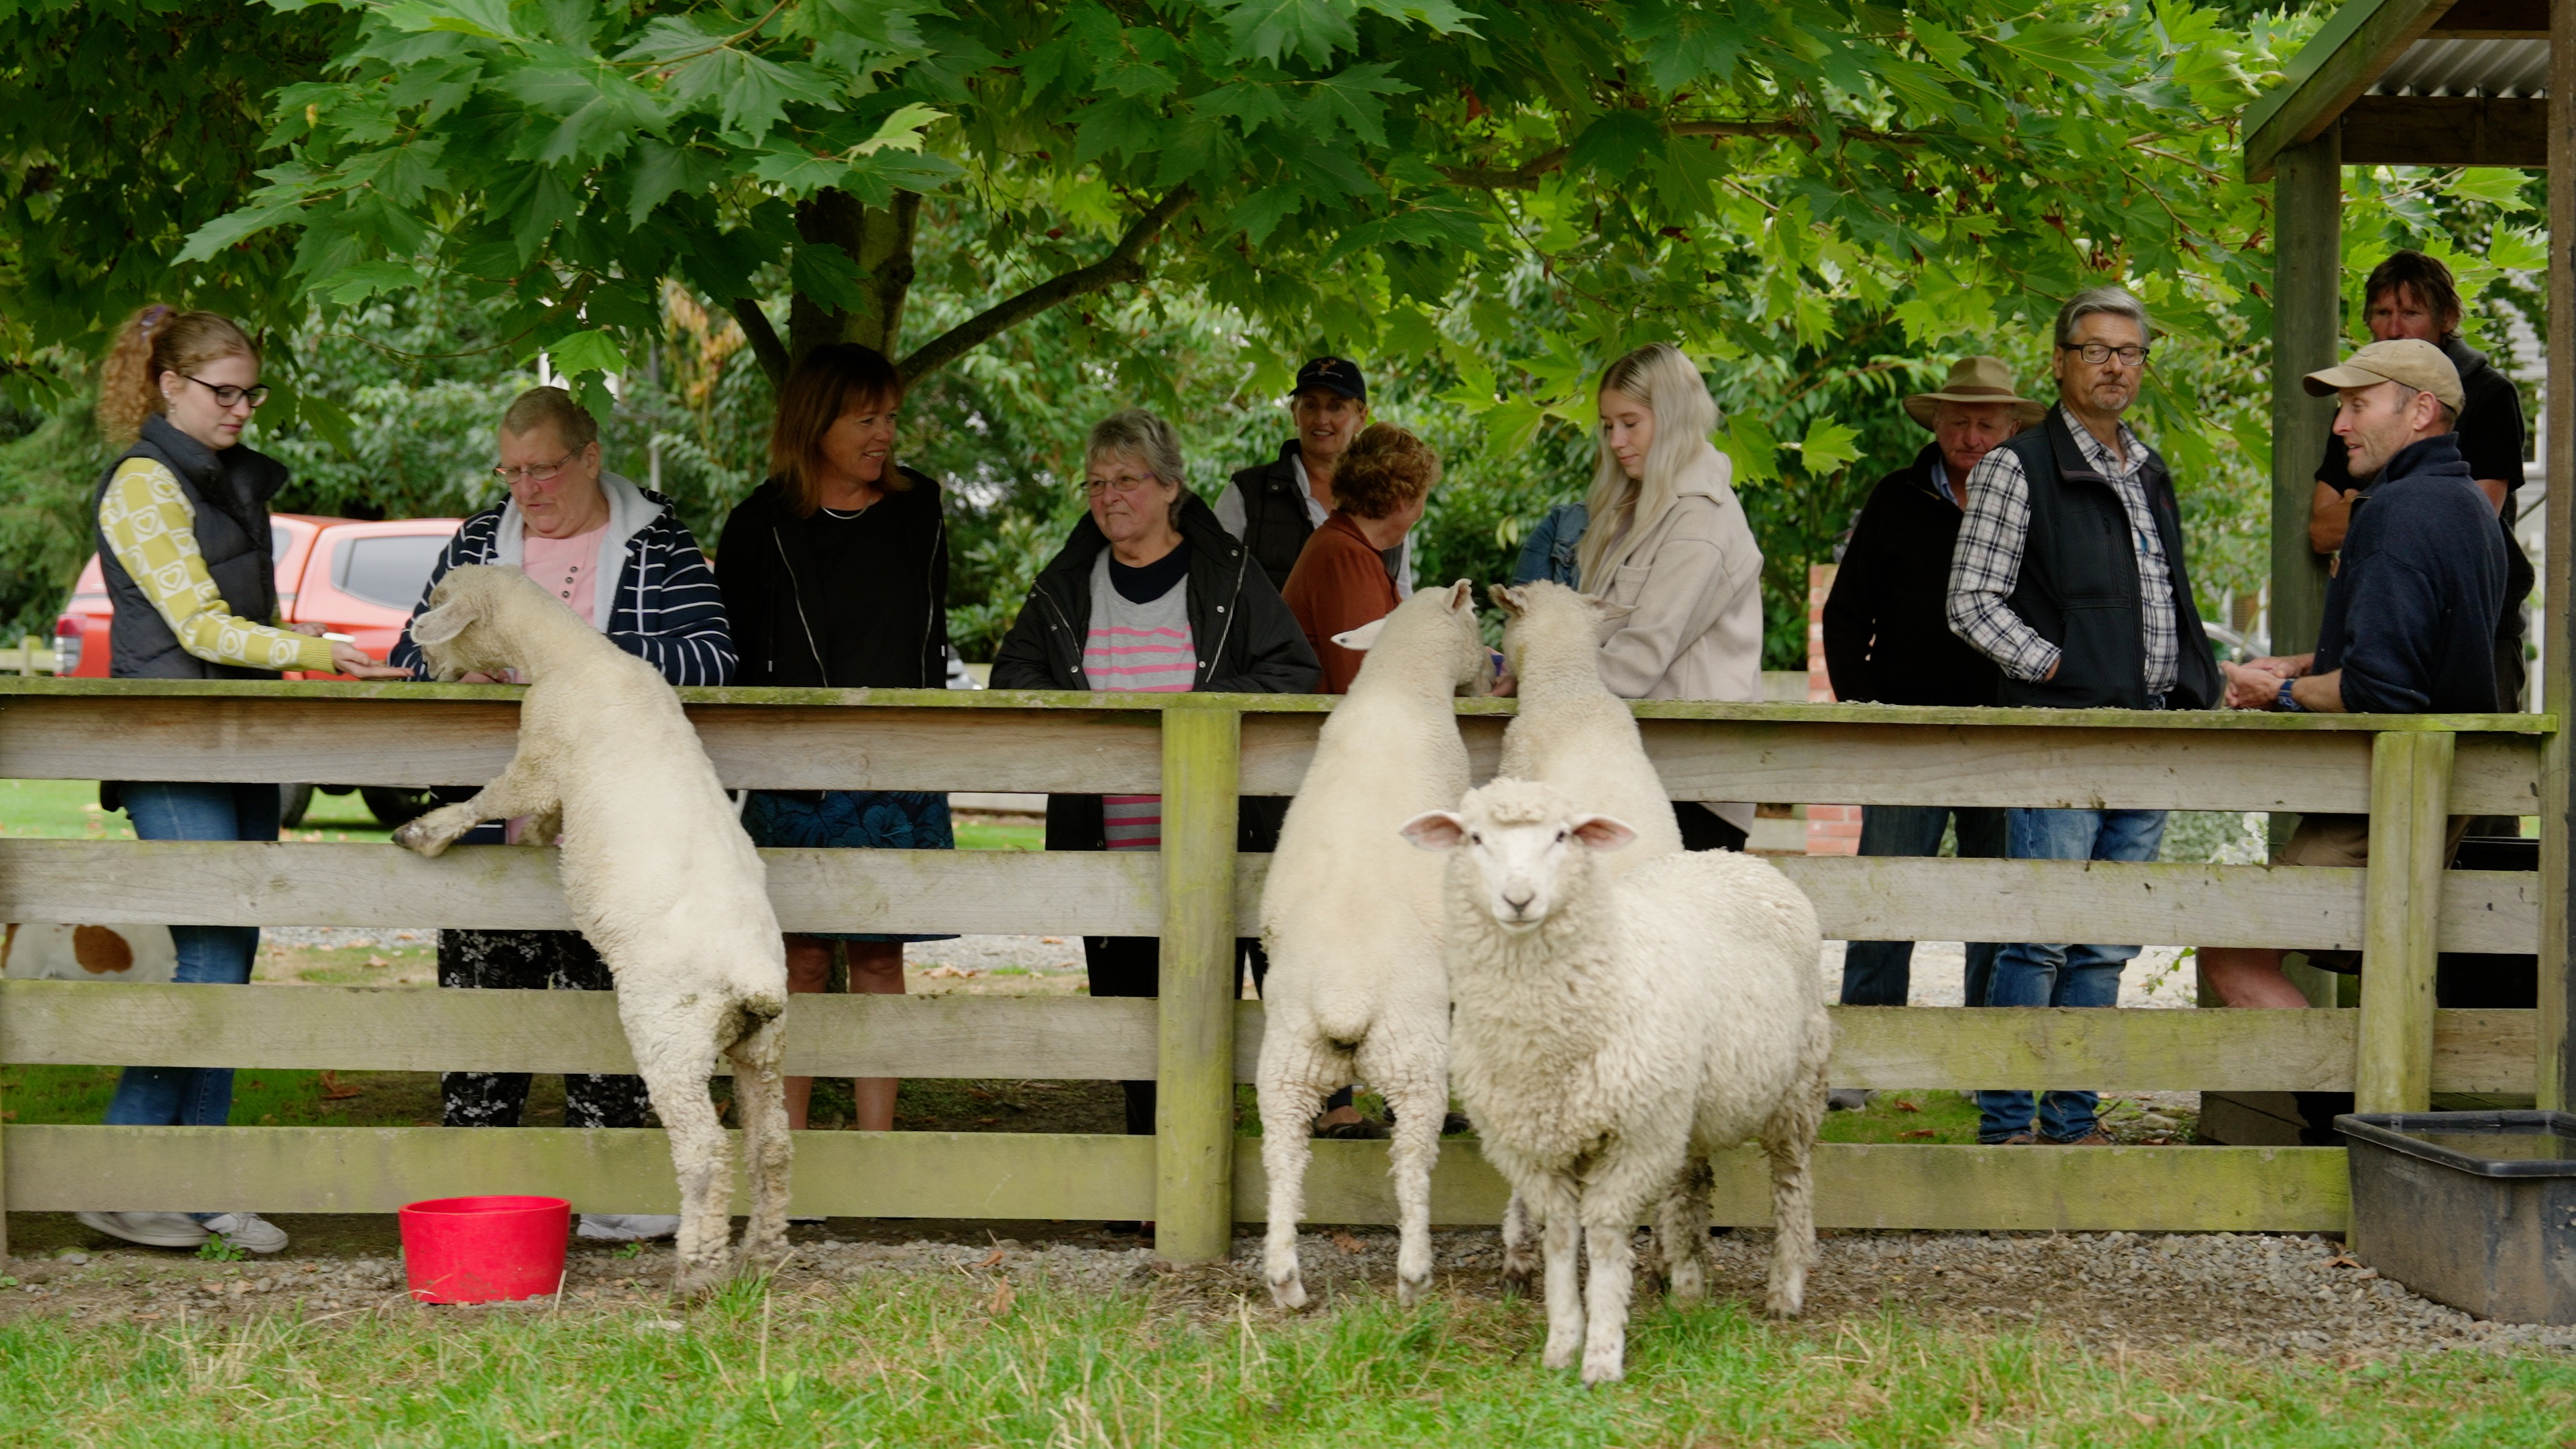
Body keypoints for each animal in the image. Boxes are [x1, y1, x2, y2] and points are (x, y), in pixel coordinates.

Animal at [386, 564, 788, 1299]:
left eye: (436, 605)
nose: (423, 668)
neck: (573, 656)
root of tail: (755, 984)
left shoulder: (541, 753)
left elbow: (499, 798)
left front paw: (427, 832)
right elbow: (538, 817)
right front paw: (532, 841)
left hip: (673, 1035)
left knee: (705, 1151)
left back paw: (698, 1269)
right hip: (762, 1047)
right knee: (770, 1144)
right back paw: (765, 1254)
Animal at [1252, 577, 1494, 1309]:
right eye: (1477, 616)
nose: (1492, 671)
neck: (1400, 687)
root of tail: (1345, 1000)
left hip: (1286, 1069)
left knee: (1283, 1159)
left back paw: (1285, 1279)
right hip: (1414, 1060)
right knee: (1412, 1160)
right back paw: (1414, 1274)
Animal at [1411, 773, 1834, 1382]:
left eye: (1562, 836)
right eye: (1474, 838)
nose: (1519, 899)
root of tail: (1728, 856)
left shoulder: (1634, 1139)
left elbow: (1608, 1240)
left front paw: (1603, 1354)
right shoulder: (1534, 1144)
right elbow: (1562, 1237)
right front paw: (1562, 1344)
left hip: (1795, 1091)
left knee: (1793, 1186)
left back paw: (1785, 1290)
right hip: (1685, 1106)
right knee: (1691, 1186)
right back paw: (1688, 1287)